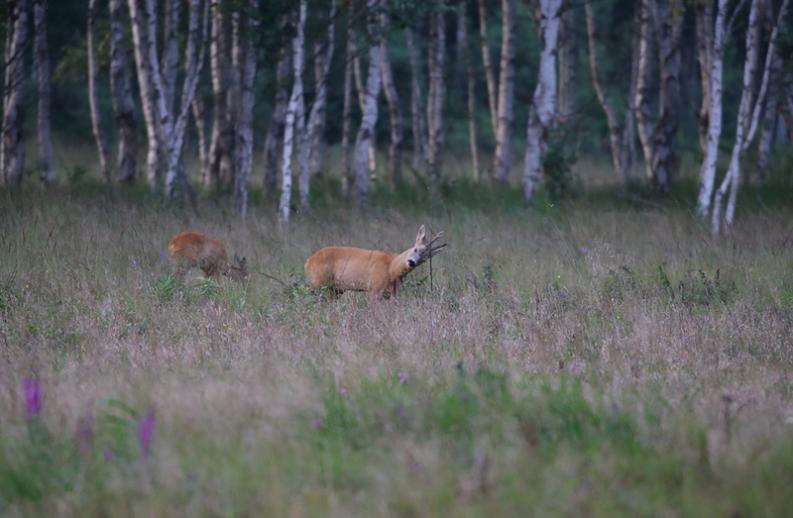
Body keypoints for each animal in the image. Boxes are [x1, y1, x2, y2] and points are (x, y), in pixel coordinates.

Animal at [304, 224, 446, 300]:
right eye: (415, 249)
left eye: (424, 257)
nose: (411, 262)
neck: (392, 268)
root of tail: (308, 261)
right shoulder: (374, 287)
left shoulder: (392, 293)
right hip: (318, 281)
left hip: (334, 289)